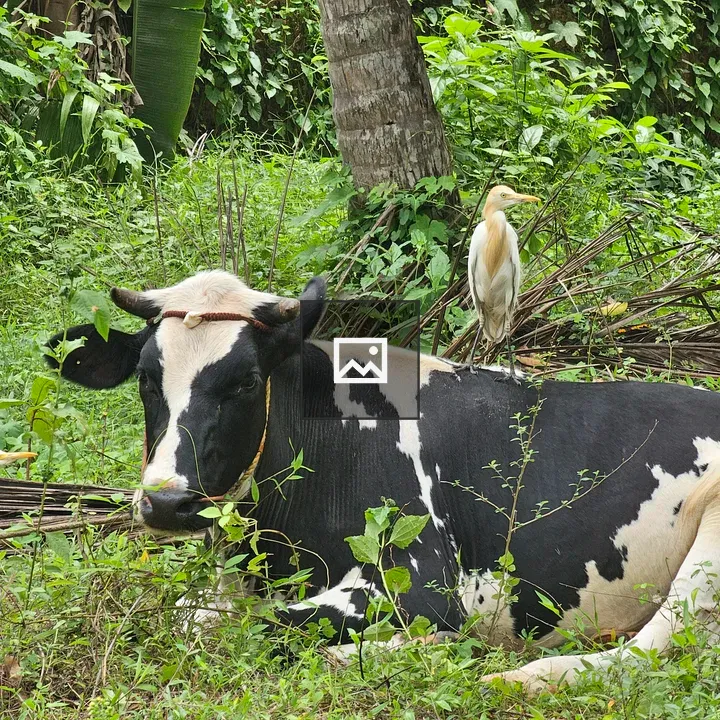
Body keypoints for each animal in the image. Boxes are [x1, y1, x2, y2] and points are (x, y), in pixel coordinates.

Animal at [47, 270, 720, 693]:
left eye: (244, 381)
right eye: (145, 378)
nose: (167, 502)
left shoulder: (421, 584)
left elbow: (267, 629)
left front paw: (421, 649)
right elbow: (192, 618)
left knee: (652, 646)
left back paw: (515, 676)